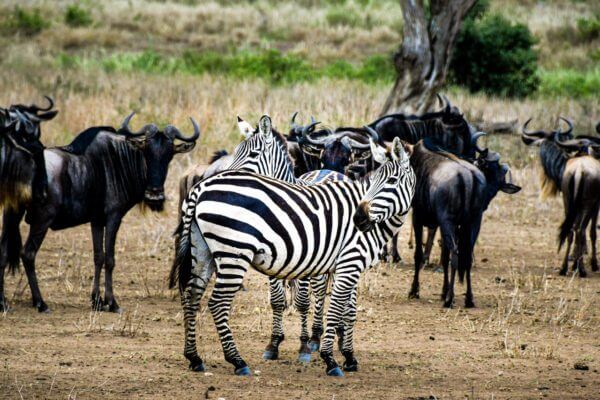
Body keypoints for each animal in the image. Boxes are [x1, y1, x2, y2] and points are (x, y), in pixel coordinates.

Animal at [170, 119, 418, 376]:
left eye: (391, 181)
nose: (358, 218)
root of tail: (200, 187)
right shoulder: (349, 262)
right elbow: (334, 308)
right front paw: (330, 360)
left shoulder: (349, 265)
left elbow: (348, 311)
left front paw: (348, 356)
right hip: (234, 253)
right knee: (218, 303)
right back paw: (237, 361)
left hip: (203, 251)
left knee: (192, 295)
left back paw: (194, 358)